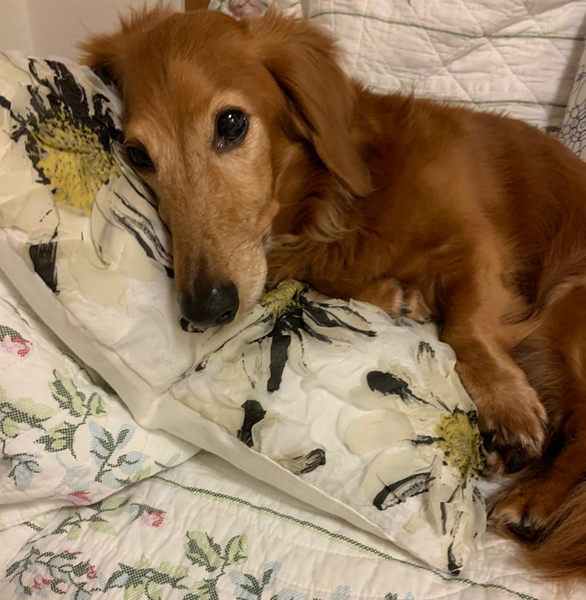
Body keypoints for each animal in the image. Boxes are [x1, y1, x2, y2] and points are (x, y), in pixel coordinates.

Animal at [81, 6, 586, 577]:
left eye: (231, 123)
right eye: (137, 153)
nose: (205, 309)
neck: (327, 207)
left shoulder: (478, 243)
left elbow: (466, 326)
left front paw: (507, 406)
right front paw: (397, 297)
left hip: (569, 309)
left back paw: (533, 498)